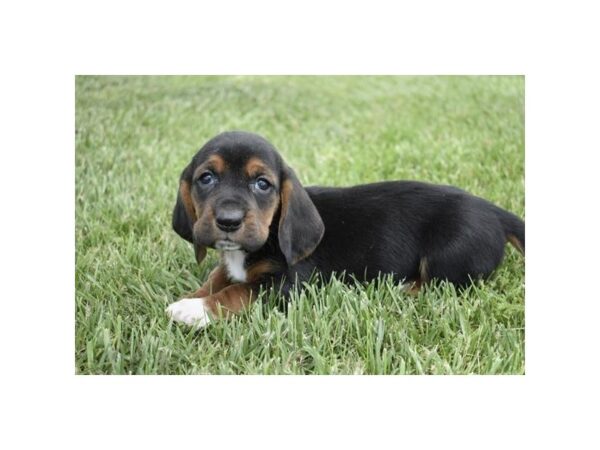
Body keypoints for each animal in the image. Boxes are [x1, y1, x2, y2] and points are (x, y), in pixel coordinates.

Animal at [165, 130, 524, 326]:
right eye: (206, 178)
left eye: (262, 184)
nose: (228, 221)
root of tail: (493, 211)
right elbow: (217, 279)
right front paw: (192, 297)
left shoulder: (289, 285)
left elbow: (237, 291)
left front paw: (193, 309)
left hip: (448, 253)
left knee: (442, 284)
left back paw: (401, 289)